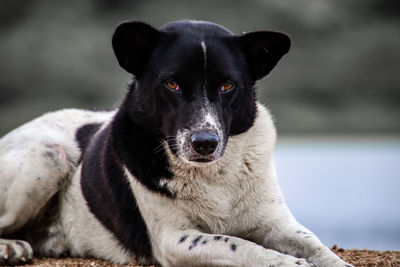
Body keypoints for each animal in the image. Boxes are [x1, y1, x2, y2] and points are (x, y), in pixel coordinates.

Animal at [0, 21, 352, 267]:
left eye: (227, 86)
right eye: (172, 84)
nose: (205, 143)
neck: (214, 175)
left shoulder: (277, 224)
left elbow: (317, 246)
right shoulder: (175, 239)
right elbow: (240, 246)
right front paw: (290, 262)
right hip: (47, 157)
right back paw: (10, 247)